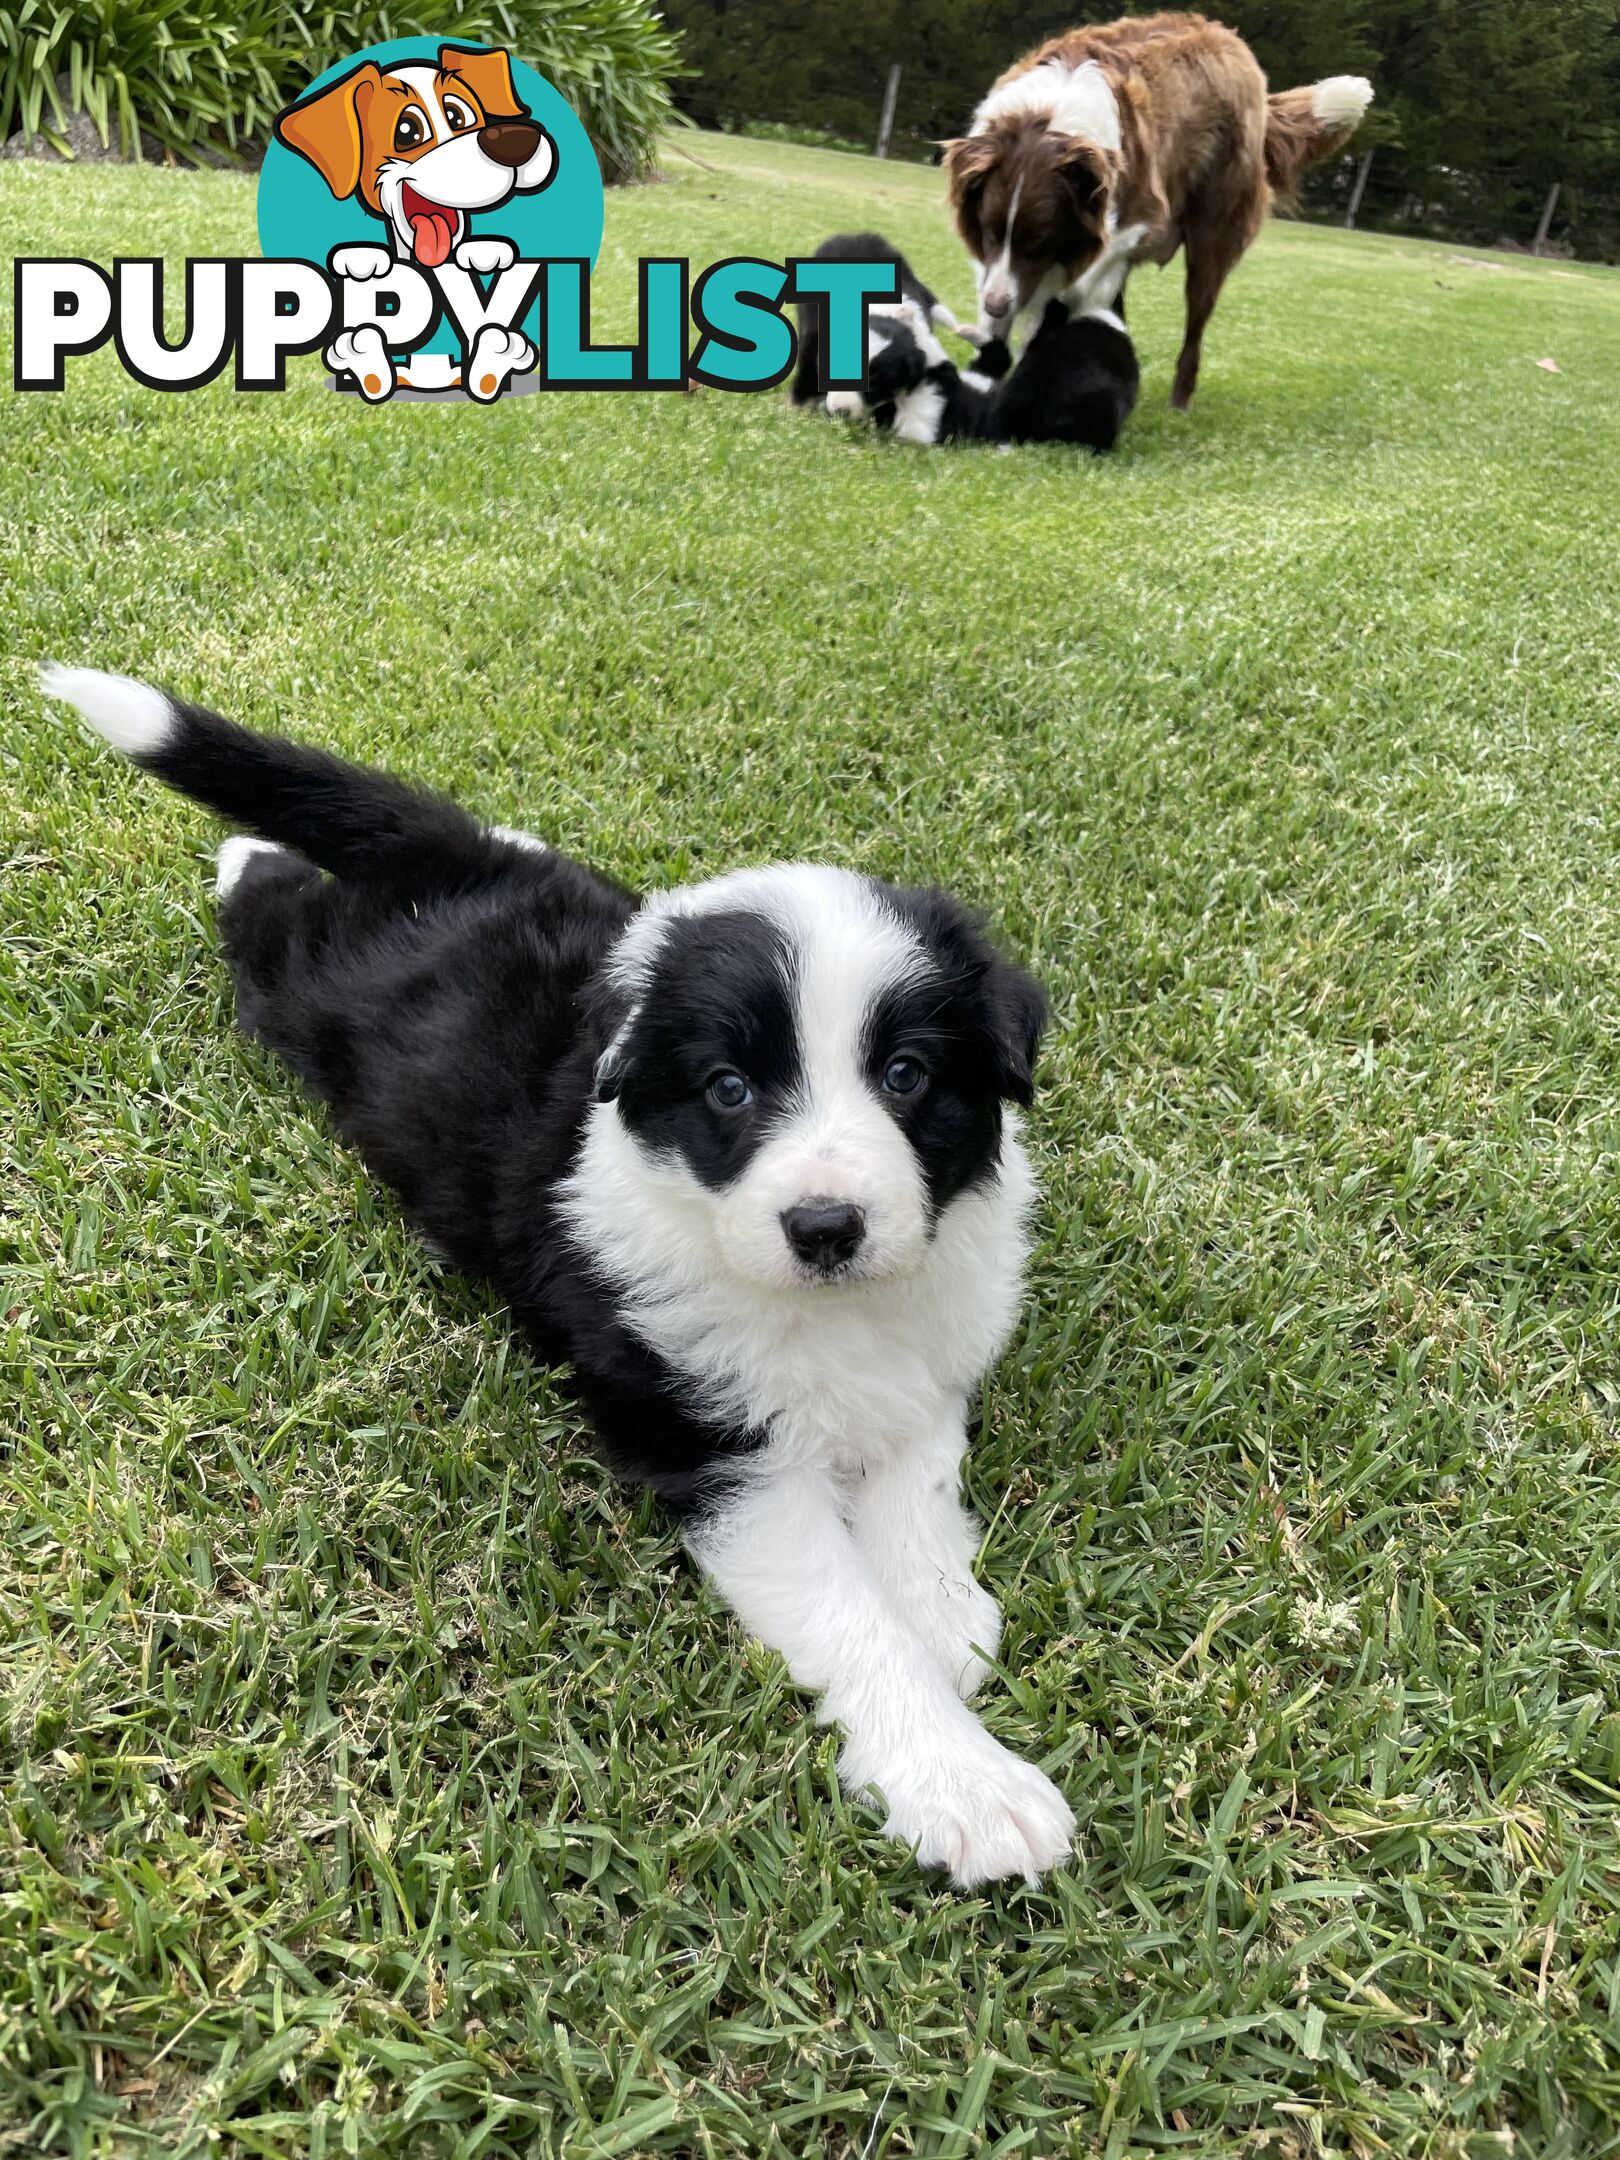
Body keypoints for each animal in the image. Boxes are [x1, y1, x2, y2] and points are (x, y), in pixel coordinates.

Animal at [41, 660, 1080, 1892]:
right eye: (729, 1090)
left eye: (909, 1076)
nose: (826, 1227)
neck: (828, 1308)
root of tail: (451, 858)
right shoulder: (712, 1452)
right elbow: (848, 1614)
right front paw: (964, 1783)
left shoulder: (931, 1350)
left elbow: (918, 1473)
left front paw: (941, 1608)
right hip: (303, 988)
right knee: (270, 912)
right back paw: (245, 857)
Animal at [946, 13, 1373, 408]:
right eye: (988, 232)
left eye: (1040, 242)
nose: (995, 303)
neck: (1050, 121)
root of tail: (1234, 43)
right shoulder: (1000, 264)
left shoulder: (1135, 221)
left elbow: (1069, 294)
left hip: (1212, 237)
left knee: (1194, 330)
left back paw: (1178, 404)